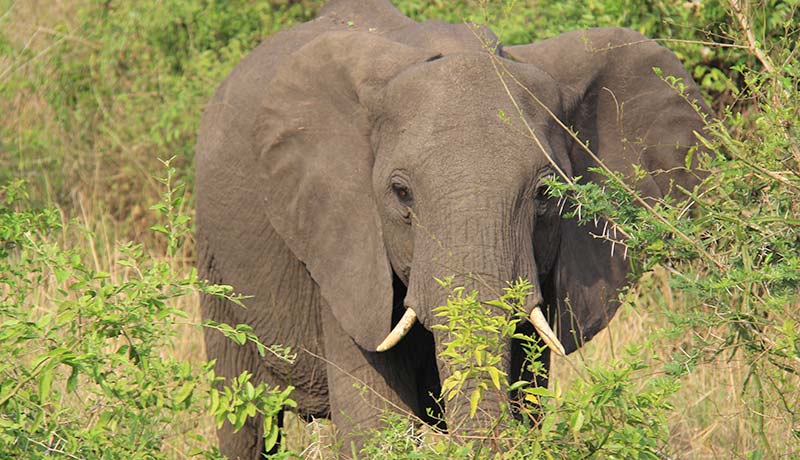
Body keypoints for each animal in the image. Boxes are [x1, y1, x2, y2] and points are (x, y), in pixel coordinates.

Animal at [194, 0, 708, 456]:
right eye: (401, 193)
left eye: (545, 194)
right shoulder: (343, 243)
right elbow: (375, 419)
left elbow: (528, 394)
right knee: (241, 418)